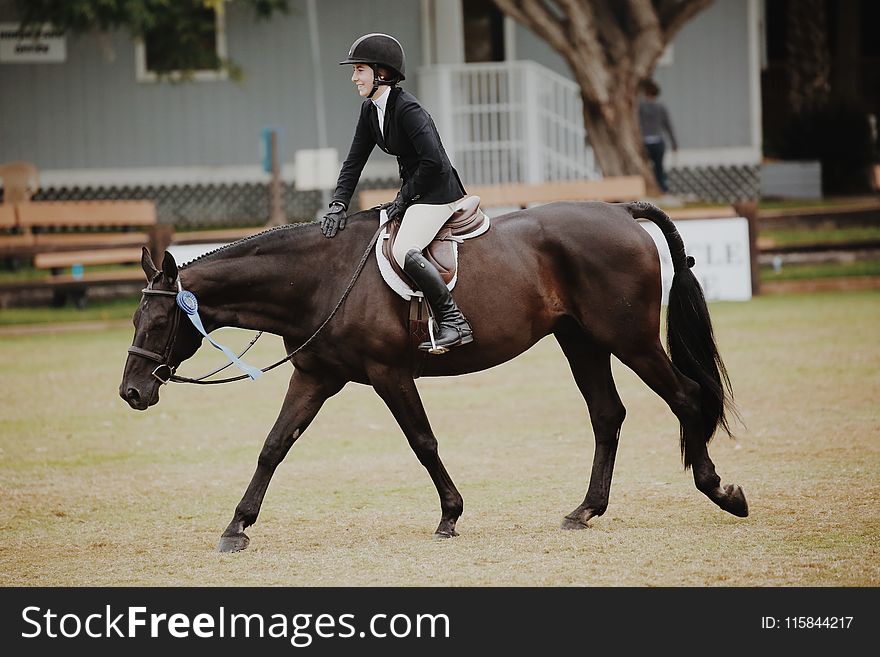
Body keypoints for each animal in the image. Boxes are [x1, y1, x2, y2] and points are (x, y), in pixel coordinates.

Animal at [118, 199, 748, 548]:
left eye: (157, 323)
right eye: (136, 319)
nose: (131, 392)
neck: (320, 278)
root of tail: (618, 211)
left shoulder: (389, 373)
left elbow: (422, 441)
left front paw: (450, 516)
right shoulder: (316, 377)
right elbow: (274, 446)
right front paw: (237, 527)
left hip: (629, 339)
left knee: (686, 396)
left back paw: (720, 490)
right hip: (581, 342)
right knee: (607, 416)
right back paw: (585, 510)